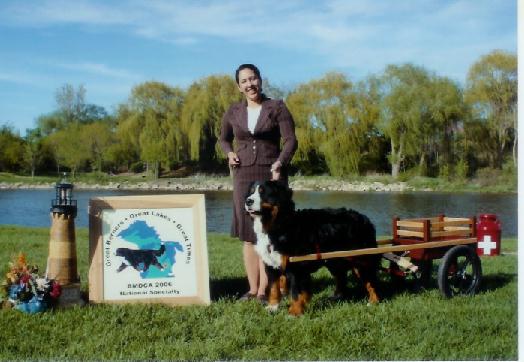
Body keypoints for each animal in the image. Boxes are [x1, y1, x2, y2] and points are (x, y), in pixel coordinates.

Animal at [244, 180, 378, 314]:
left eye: (263, 192)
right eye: (251, 192)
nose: (248, 201)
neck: (278, 226)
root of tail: (365, 218)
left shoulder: (296, 266)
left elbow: (296, 292)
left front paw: (294, 312)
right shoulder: (271, 264)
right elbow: (273, 288)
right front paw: (273, 307)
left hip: (361, 260)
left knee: (371, 282)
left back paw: (373, 302)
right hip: (335, 261)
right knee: (341, 278)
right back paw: (336, 297)